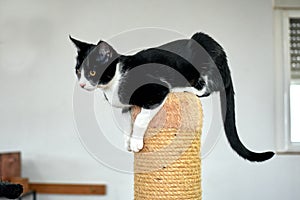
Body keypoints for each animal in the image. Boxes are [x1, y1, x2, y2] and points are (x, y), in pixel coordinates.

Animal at [71, 32, 274, 162]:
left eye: (92, 72)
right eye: (78, 71)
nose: (81, 84)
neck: (116, 81)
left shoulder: (156, 91)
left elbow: (140, 119)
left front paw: (136, 142)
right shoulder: (126, 106)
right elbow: (126, 121)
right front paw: (127, 140)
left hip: (202, 51)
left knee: (206, 87)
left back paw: (184, 89)